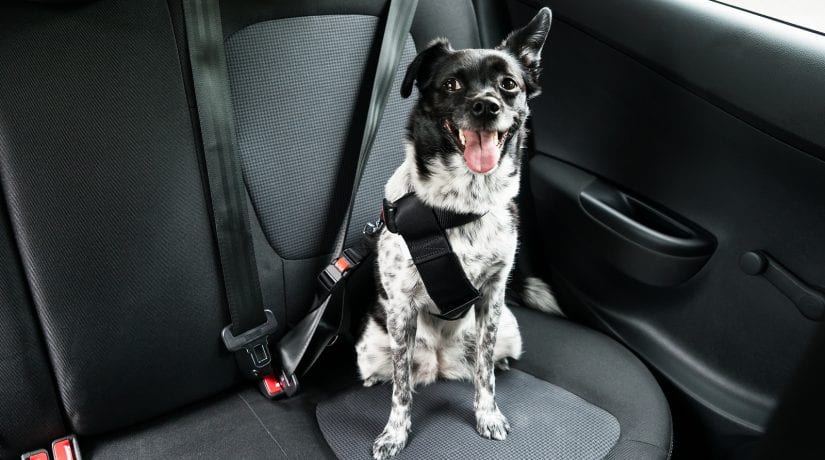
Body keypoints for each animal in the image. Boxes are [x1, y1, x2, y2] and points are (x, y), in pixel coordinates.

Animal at [354, 8, 552, 460]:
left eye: (509, 84)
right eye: (451, 84)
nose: (486, 106)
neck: (459, 206)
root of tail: (441, 364)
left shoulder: (492, 297)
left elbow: (484, 373)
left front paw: (487, 414)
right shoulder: (402, 308)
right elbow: (401, 389)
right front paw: (395, 433)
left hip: (509, 329)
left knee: (486, 360)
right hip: (371, 346)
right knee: (392, 372)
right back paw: (377, 379)